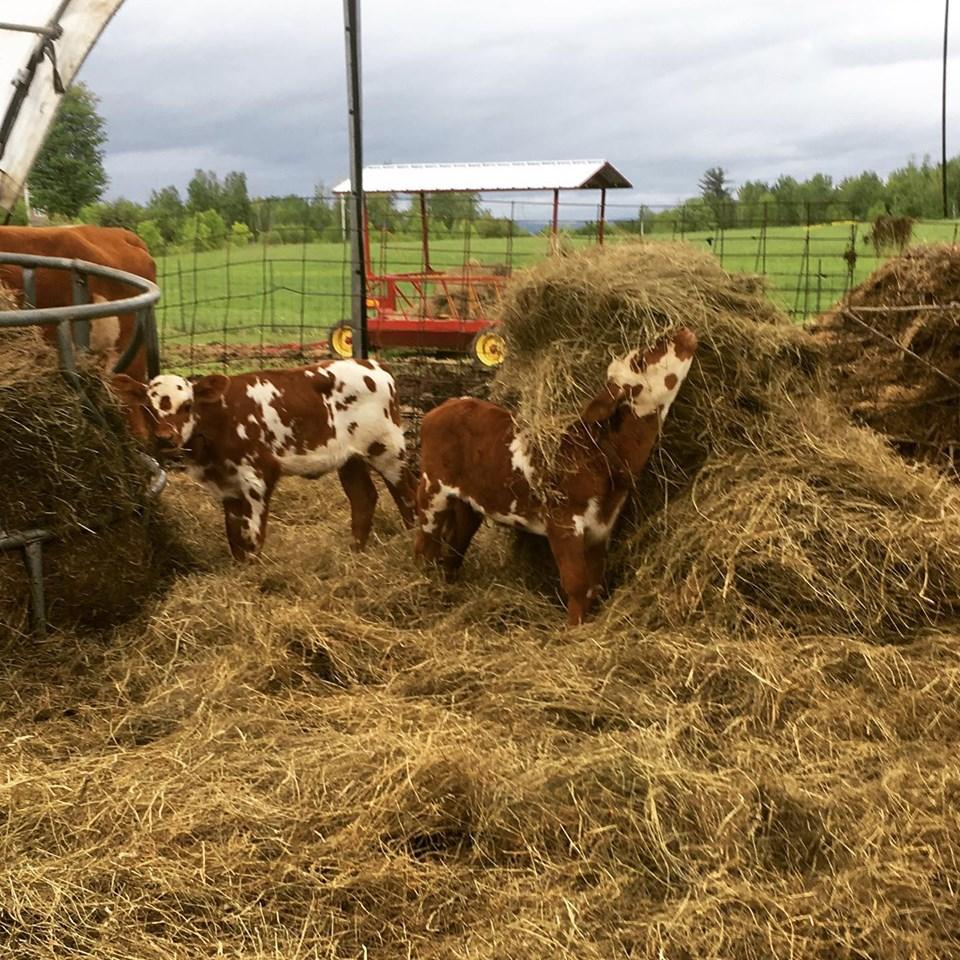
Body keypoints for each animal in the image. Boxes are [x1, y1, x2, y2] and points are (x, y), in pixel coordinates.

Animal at [112, 356, 416, 560]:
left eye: (187, 405)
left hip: (387, 449)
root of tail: (374, 365)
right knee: (363, 498)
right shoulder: (227, 485)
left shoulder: (258, 475)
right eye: (148, 408)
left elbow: (253, 534)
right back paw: (355, 553)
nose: (165, 438)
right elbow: (235, 535)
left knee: (407, 494)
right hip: (349, 459)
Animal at [412, 326, 696, 628]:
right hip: (432, 489)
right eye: (640, 361)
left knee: (454, 549)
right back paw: (421, 588)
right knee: (424, 545)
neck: (599, 452)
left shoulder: (601, 528)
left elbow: (594, 585)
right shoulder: (563, 522)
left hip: (469, 503)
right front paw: (573, 628)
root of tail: (443, 407)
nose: (681, 331)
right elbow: (577, 583)